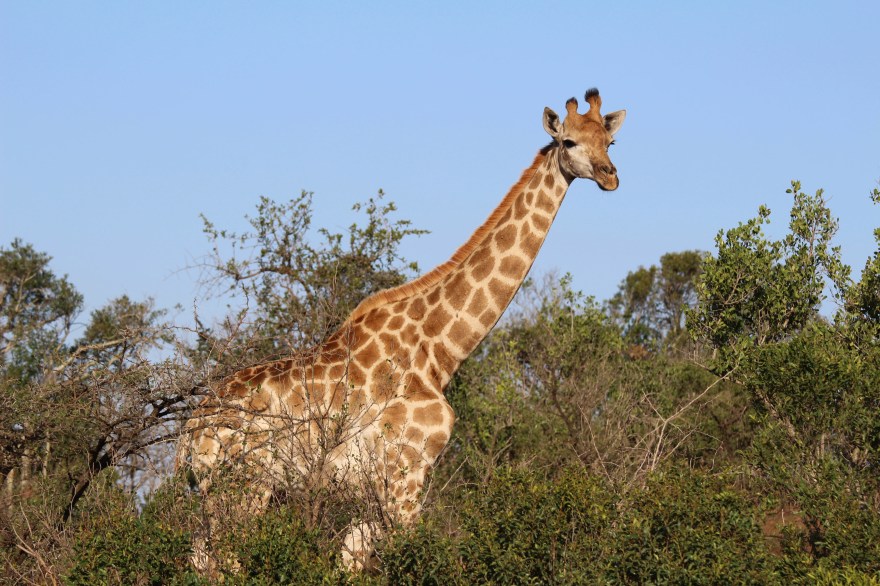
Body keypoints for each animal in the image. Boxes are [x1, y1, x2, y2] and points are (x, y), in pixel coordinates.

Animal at [177, 88, 626, 571]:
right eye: (568, 142)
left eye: (610, 142)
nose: (610, 176)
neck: (438, 349)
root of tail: (191, 429)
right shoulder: (406, 479)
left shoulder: (376, 494)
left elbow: (348, 566)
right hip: (243, 488)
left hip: (213, 496)